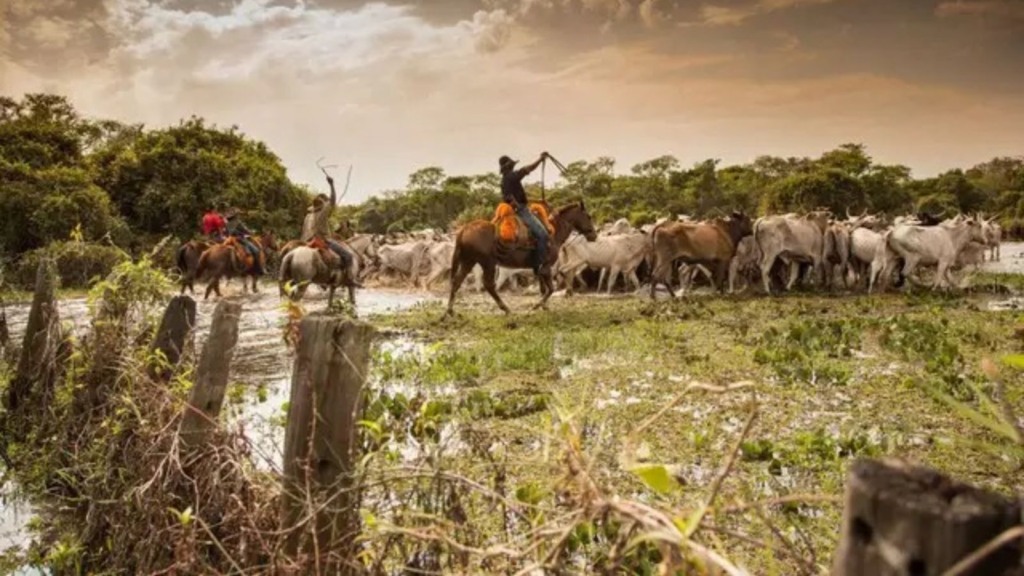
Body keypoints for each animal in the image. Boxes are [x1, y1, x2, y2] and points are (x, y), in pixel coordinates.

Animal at [442, 199, 598, 315]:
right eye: (588, 216)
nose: (594, 235)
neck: (553, 232)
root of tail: (464, 229)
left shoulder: (539, 268)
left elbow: (544, 289)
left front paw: (544, 306)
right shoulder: (546, 267)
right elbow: (551, 289)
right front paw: (537, 306)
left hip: (468, 261)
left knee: (457, 281)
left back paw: (450, 311)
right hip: (488, 263)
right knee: (489, 285)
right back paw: (505, 309)